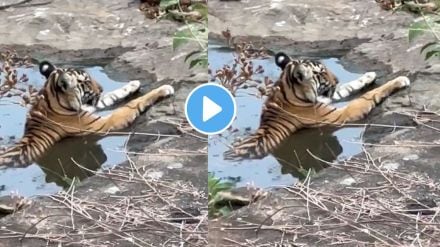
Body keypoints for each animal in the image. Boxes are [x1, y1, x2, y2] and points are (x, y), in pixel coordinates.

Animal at [0, 60, 175, 167]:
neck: (52, 100)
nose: (101, 88)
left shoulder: (91, 108)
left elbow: (112, 95)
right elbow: (131, 105)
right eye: (86, 82)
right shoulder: (104, 123)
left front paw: (133, 84)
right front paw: (164, 89)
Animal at [225, 52, 410, 160]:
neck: (287, 90)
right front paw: (400, 80)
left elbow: (348, 87)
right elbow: (367, 96)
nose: (336, 80)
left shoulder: (327, 99)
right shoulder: (341, 114)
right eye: (321, 73)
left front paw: (368, 76)